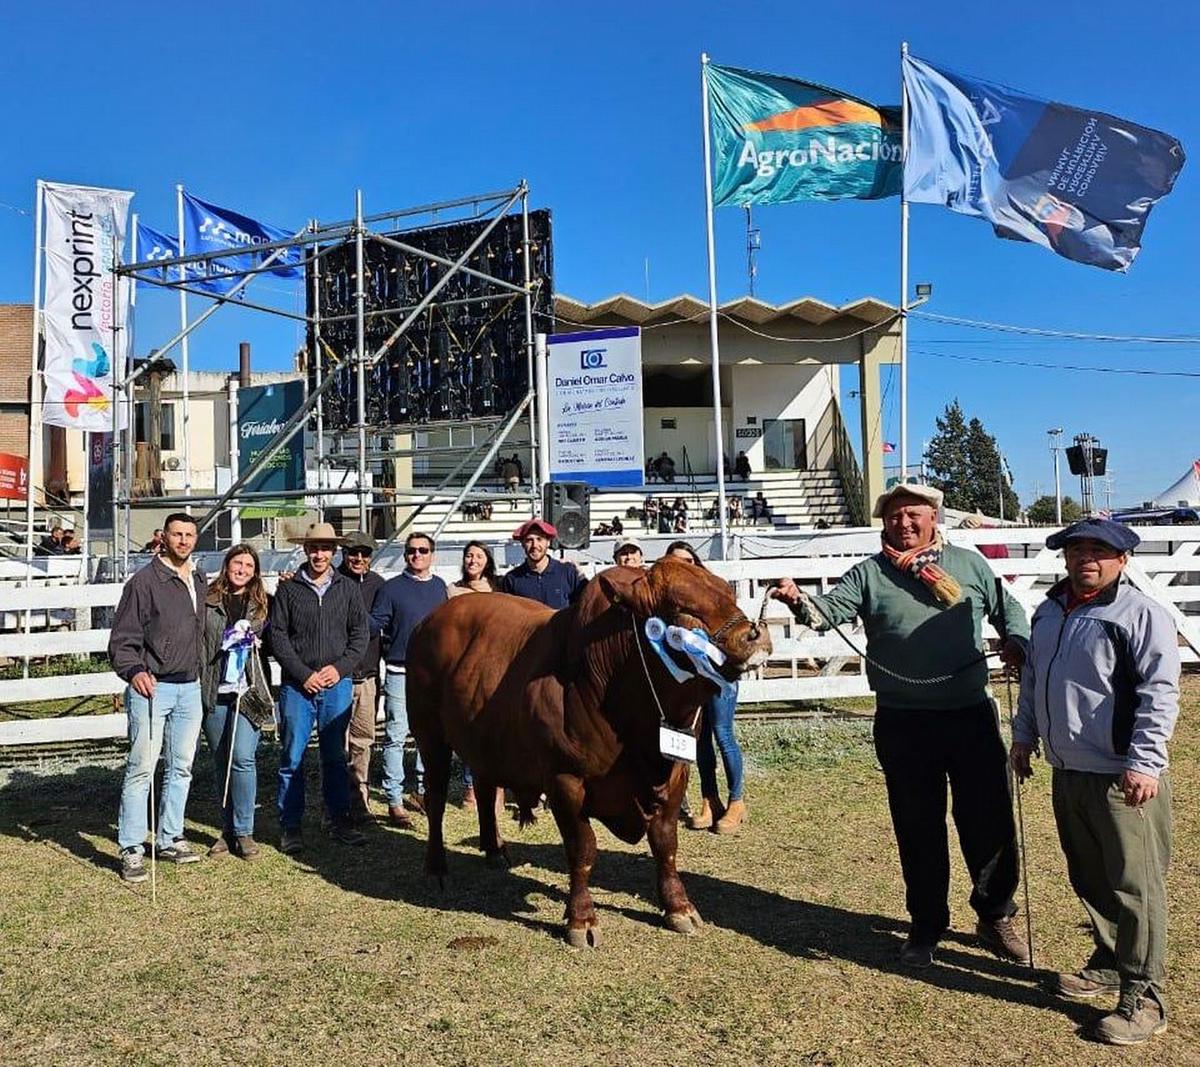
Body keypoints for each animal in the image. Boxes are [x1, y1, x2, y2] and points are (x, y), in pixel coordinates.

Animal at [408, 554, 772, 945]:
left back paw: (494, 849)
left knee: (486, 786)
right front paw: (580, 919)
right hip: (429, 735)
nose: (754, 635)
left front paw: (678, 907)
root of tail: (430, 619)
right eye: (680, 608)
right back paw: (435, 867)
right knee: (435, 798)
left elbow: (665, 843)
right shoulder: (565, 780)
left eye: (725, 590)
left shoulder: (677, 773)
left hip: (484, 740)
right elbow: (582, 848)